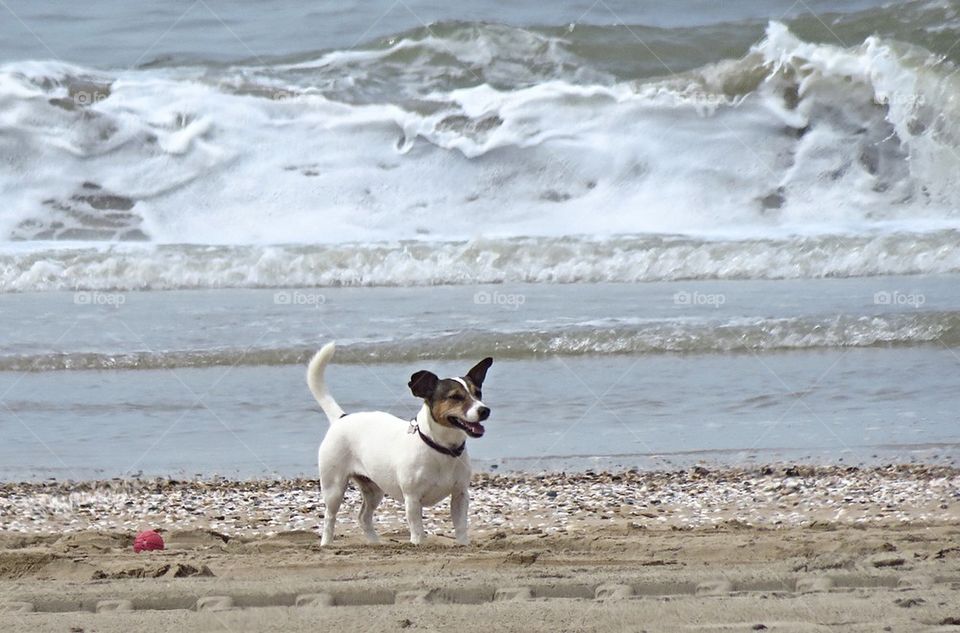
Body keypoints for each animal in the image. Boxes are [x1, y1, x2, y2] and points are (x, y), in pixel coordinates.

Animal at [310, 340, 496, 544]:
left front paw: (463, 544)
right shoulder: (412, 500)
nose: (484, 410)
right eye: (455, 397)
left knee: (363, 517)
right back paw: (326, 543)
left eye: (478, 394)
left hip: (374, 489)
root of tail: (341, 417)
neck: (441, 448)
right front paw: (418, 543)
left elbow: (461, 528)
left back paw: (375, 544)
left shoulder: (460, 495)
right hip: (334, 489)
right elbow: (418, 532)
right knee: (329, 518)